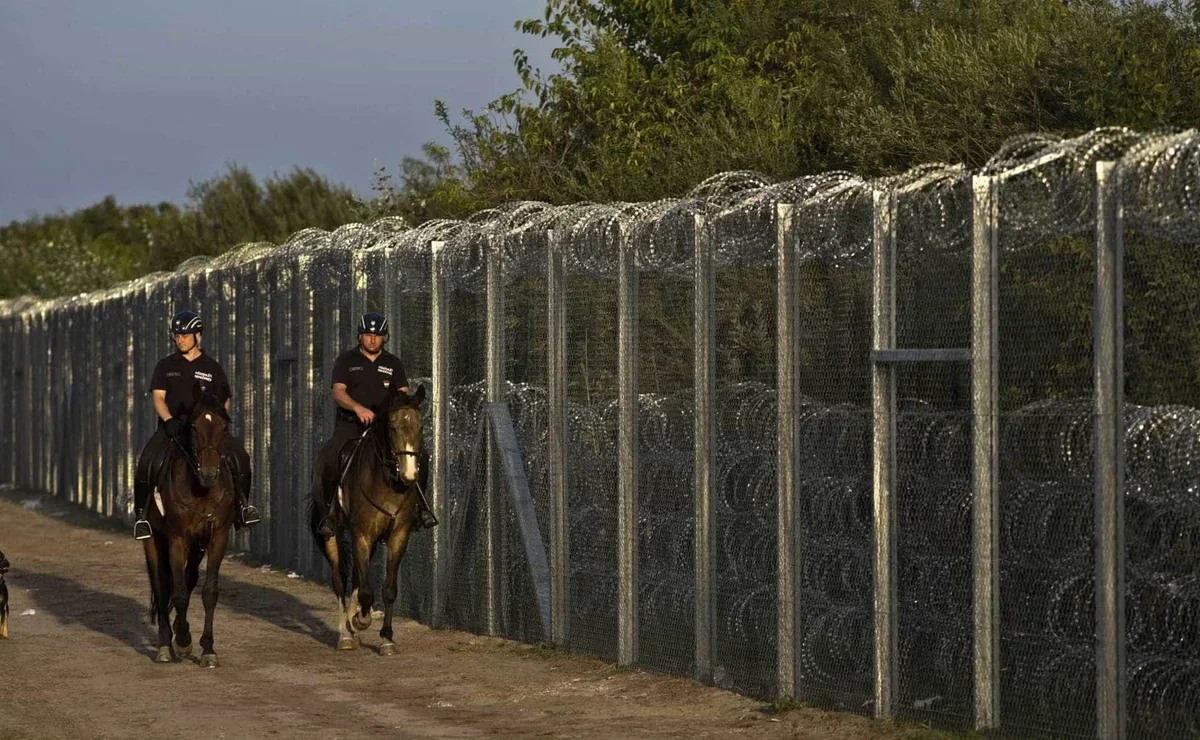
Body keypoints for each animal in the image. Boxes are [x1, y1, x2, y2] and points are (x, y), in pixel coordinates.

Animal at [142, 383, 236, 666]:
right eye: (193, 426)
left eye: (224, 427)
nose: (209, 474)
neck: (201, 490)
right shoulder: (177, 538)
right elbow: (179, 594)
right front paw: (183, 641)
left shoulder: (217, 537)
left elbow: (209, 591)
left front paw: (208, 650)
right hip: (154, 540)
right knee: (162, 586)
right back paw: (165, 645)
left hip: (197, 546)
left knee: (189, 576)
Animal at [309, 383, 427, 657]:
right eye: (392, 426)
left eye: (420, 426)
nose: (409, 475)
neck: (387, 480)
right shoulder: (361, 534)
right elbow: (364, 590)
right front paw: (361, 621)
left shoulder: (398, 536)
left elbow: (388, 589)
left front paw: (387, 639)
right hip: (331, 533)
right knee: (340, 579)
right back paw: (346, 634)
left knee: (354, 577)